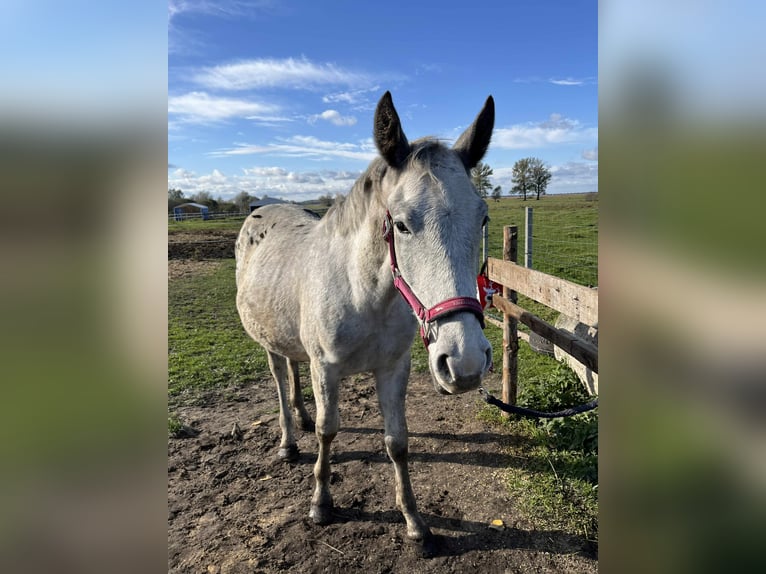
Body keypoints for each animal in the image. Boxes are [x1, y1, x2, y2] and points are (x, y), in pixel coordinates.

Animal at [235, 91, 494, 550]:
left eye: (481, 218)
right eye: (402, 225)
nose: (465, 362)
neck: (364, 294)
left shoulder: (393, 368)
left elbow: (397, 442)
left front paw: (414, 520)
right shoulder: (326, 368)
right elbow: (327, 430)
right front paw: (320, 503)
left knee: (294, 373)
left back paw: (300, 418)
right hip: (267, 344)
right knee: (281, 382)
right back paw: (288, 440)